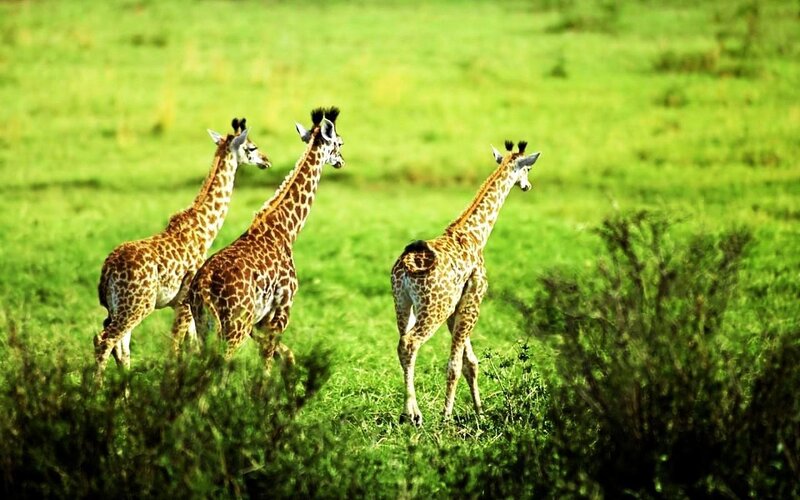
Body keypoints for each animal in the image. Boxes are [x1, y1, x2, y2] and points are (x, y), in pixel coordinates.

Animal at [95, 118, 271, 374]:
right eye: (251, 147)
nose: (266, 160)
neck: (204, 229)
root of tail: (107, 270)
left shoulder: (184, 306)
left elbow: (190, 346)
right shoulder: (184, 303)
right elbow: (176, 347)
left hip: (119, 306)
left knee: (121, 347)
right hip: (138, 305)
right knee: (105, 340)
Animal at [186, 107, 343, 369]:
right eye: (339, 143)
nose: (341, 160)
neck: (286, 230)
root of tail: (204, 287)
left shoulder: (259, 320)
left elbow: (282, 354)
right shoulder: (282, 309)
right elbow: (267, 362)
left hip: (204, 325)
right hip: (234, 326)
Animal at [391, 140, 541, 425]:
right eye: (527, 169)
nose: (527, 186)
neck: (475, 234)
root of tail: (406, 268)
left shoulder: (457, 307)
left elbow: (471, 362)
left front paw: (480, 412)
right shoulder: (473, 300)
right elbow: (456, 365)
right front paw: (447, 417)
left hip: (402, 305)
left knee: (402, 344)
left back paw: (409, 412)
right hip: (433, 309)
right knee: (411, 343)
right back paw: (414, 414)